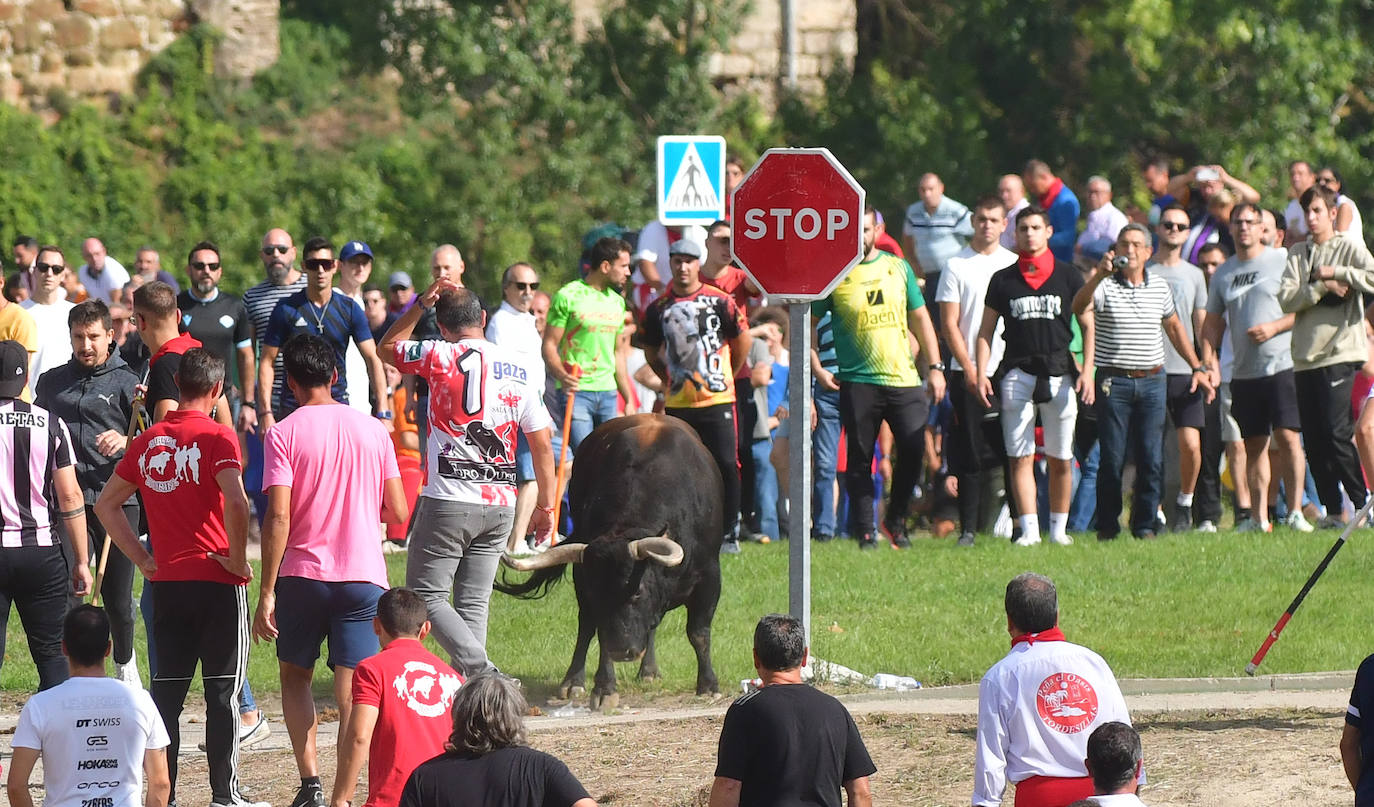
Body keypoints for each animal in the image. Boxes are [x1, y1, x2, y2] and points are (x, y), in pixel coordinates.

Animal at [500, 417, 725, 709]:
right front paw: (605, 688)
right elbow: (600, 633)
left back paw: (649, 671)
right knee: (587, 627)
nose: (623, 651)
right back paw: (573, 682)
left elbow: (698, 633)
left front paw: (708, 685)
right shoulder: (585, 581)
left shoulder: (709, 577)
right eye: (598, 593)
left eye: (637, 591)